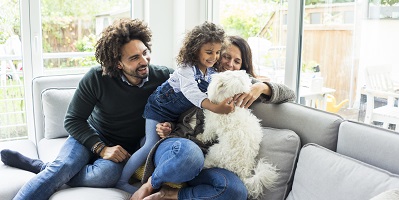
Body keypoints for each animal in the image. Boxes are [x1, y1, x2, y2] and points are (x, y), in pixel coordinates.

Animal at [197, 70, 278, 198]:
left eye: (226, 73)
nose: (243, 70)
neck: (233, 105)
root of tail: (243, 170)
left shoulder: (211, 125)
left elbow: (207, 134)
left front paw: (200, 137)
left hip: (215, 151)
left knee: (209, 162)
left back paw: (204, 163)